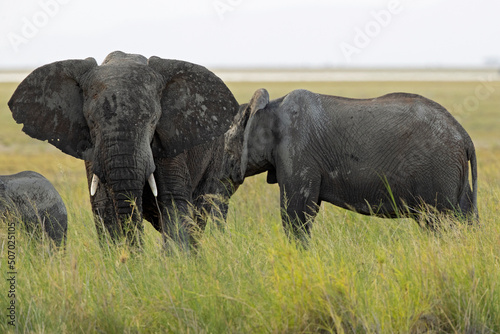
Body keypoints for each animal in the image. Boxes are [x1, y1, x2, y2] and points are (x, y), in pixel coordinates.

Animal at [7, 50, 238, 248]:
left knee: (200, 212)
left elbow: (173, 202)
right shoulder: (93, 151)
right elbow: (103, 207)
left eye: (152, 121)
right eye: (92, 122)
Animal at [222, 88, 476, 240]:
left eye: (226, 142)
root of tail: (464, 136)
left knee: (439, 222)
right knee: (465, 218)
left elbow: (297, 213)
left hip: (439, 170)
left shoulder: (297, 151)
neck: (268, 108)